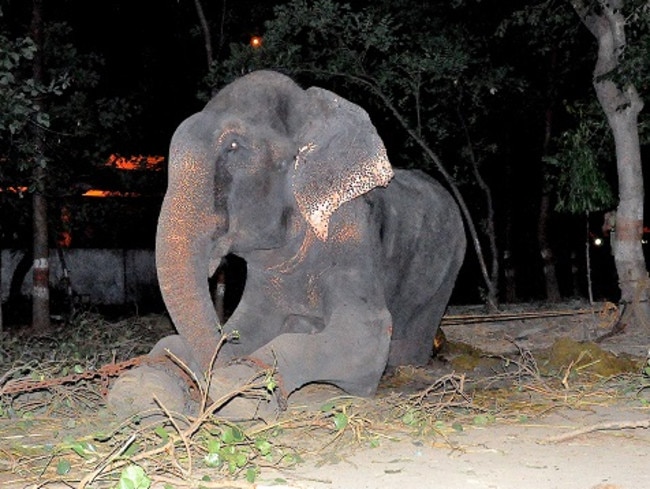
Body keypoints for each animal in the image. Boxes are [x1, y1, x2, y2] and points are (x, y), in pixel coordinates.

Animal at [106, 69, 464, 420]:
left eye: (233, 145)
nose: (201, 393)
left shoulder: (351, 230)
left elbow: (366, 334)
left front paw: (239, 390)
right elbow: (245, 324)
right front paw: (142, 386)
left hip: (447, 271)